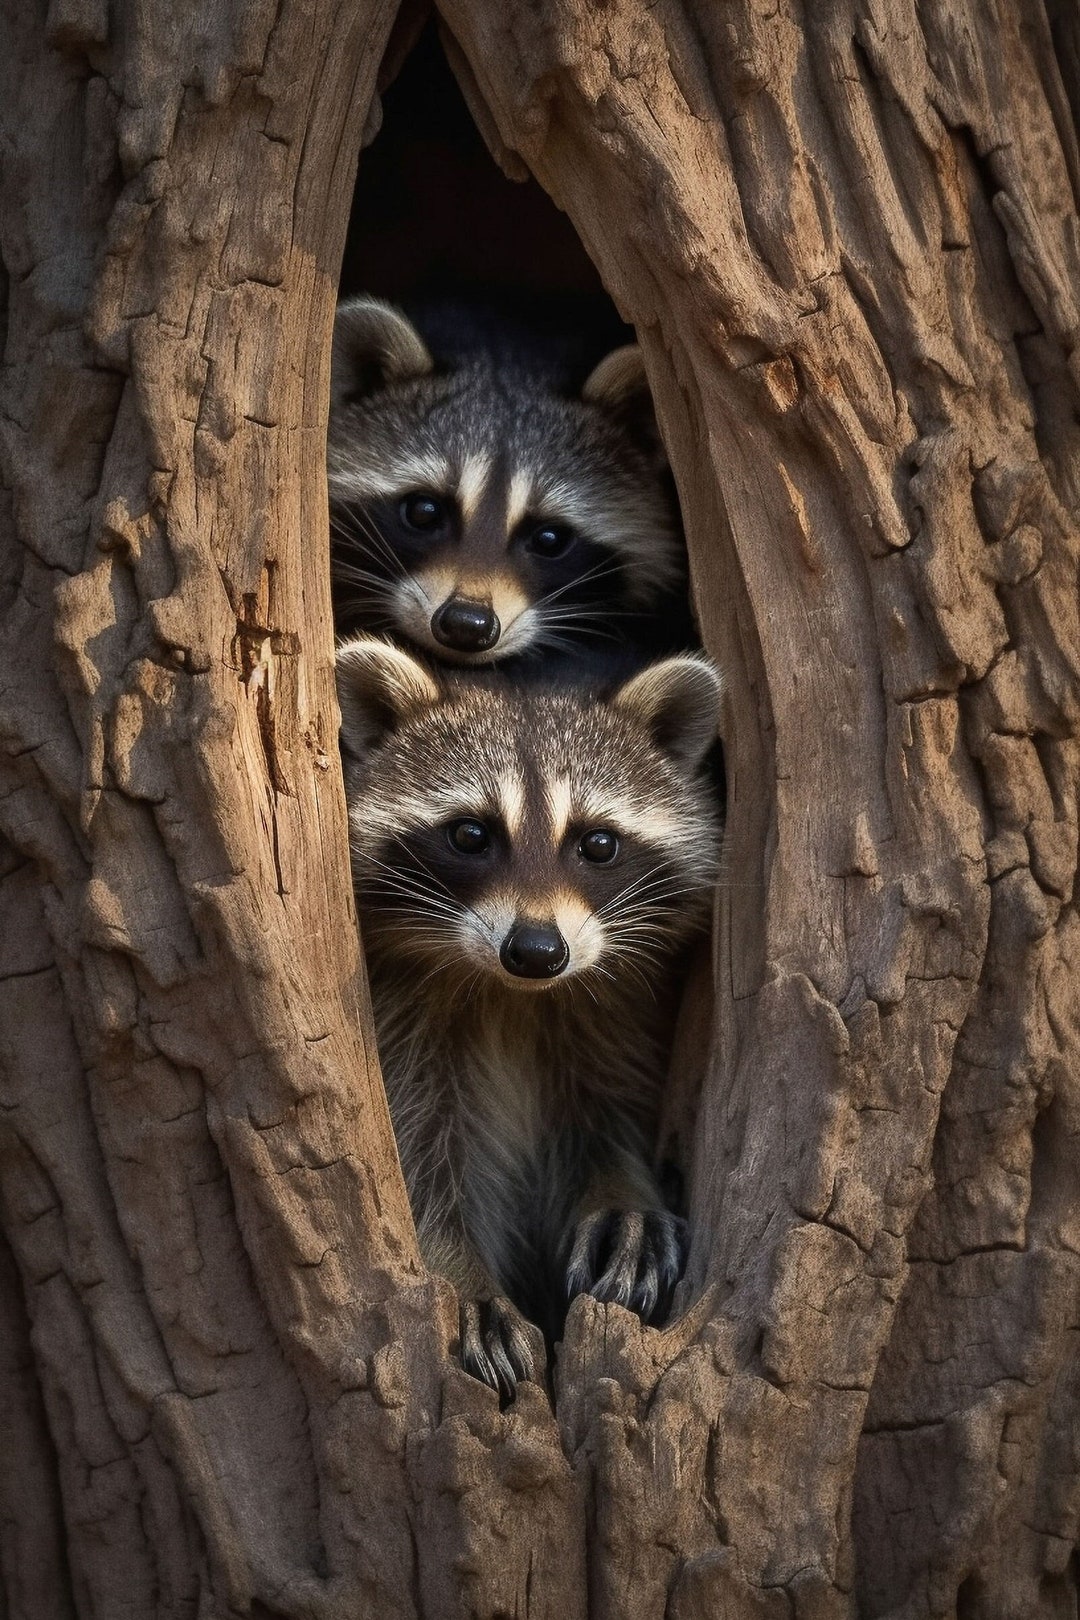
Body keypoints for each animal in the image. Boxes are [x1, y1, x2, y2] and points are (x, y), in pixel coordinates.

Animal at [336, 636, 722, 1397]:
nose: (537, 951)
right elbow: (418, 1159)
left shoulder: (620, 1013)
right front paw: (462, 1278)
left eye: (597, 844)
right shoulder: (401, 1023)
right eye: (469, 834)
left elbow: (613, 1110)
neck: (512, 998)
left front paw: (622, 1187)